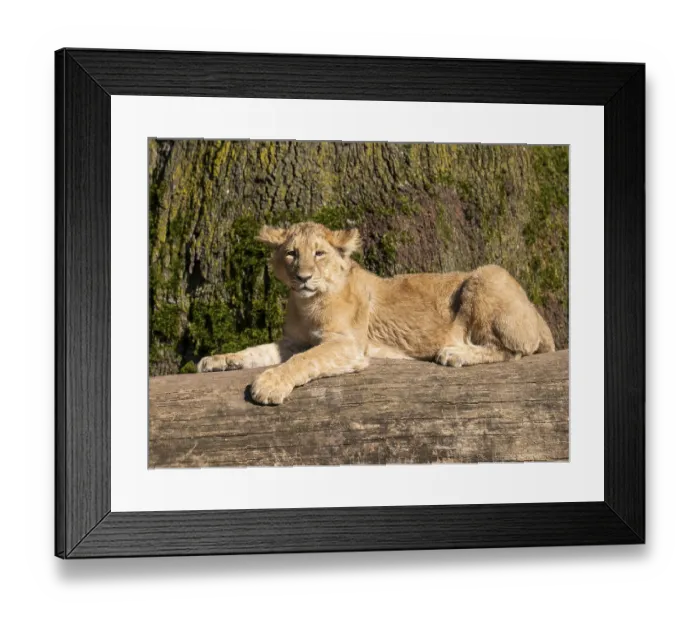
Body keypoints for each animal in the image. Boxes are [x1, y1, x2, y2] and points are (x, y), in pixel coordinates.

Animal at [197, 222, 555, 405]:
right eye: (291, 254)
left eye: (319, 254)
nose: (303, 277)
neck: (307, 303)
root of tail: (539, 318)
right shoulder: (293, 341)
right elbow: (257, 351)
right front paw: (218, 360)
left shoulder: (348, 345)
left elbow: (303, 361)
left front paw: (269, 385)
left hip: (487, 274)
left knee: (514, 350)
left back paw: (456, 353)